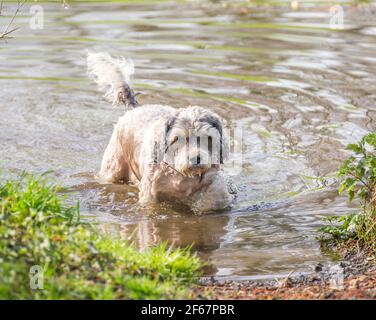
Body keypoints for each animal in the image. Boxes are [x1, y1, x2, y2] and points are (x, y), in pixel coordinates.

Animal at [88, 52, 234, 212]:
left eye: (208, 138)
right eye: (177, 139)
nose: (195, 159)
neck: (181, 175)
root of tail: (134, 108)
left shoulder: (214, 184)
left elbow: (212, 199)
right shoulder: (150, 193)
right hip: (112, 169)